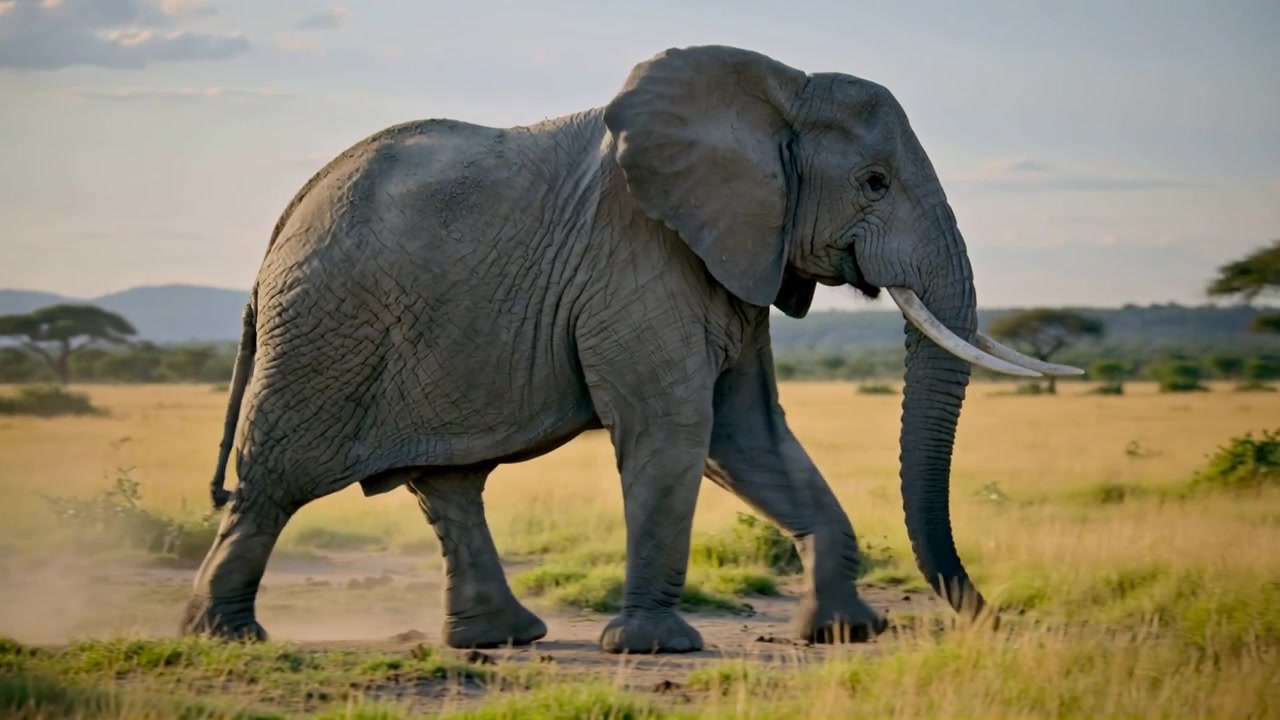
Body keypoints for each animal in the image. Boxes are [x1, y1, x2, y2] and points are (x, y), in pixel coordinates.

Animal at [181, 44, 1083, 654]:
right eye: (874, 183)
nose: (992, 618)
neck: (776, 91)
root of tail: (280, 230)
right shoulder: (640, 257)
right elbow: (675, 429)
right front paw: (655, 646)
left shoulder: (733, 254)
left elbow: (751, 437)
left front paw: (843, 632)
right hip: (324, 327)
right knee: (275, 485)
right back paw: (224, 637)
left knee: (449, 484)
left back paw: (501, 638)